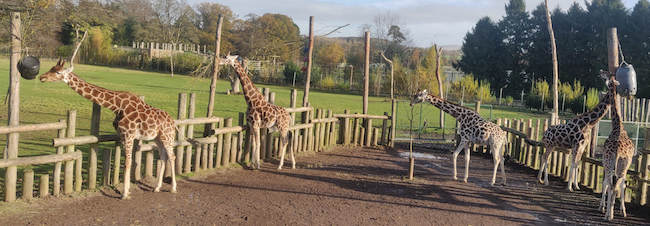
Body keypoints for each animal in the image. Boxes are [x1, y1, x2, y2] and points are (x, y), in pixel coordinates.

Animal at [40, 59, 177, 199]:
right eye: (51, 68)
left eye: (58, 72)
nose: (42, 77)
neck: (117, 106)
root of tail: (173, 122)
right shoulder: (123, 135)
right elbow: (126, 162)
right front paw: (127, 191)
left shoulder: (129, 134)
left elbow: (128, 162)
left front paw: (124, 194)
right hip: (157, 138)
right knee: (164, 156)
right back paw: (157, 187)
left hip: (167, 136)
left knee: (172, 156)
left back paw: (173, 188)